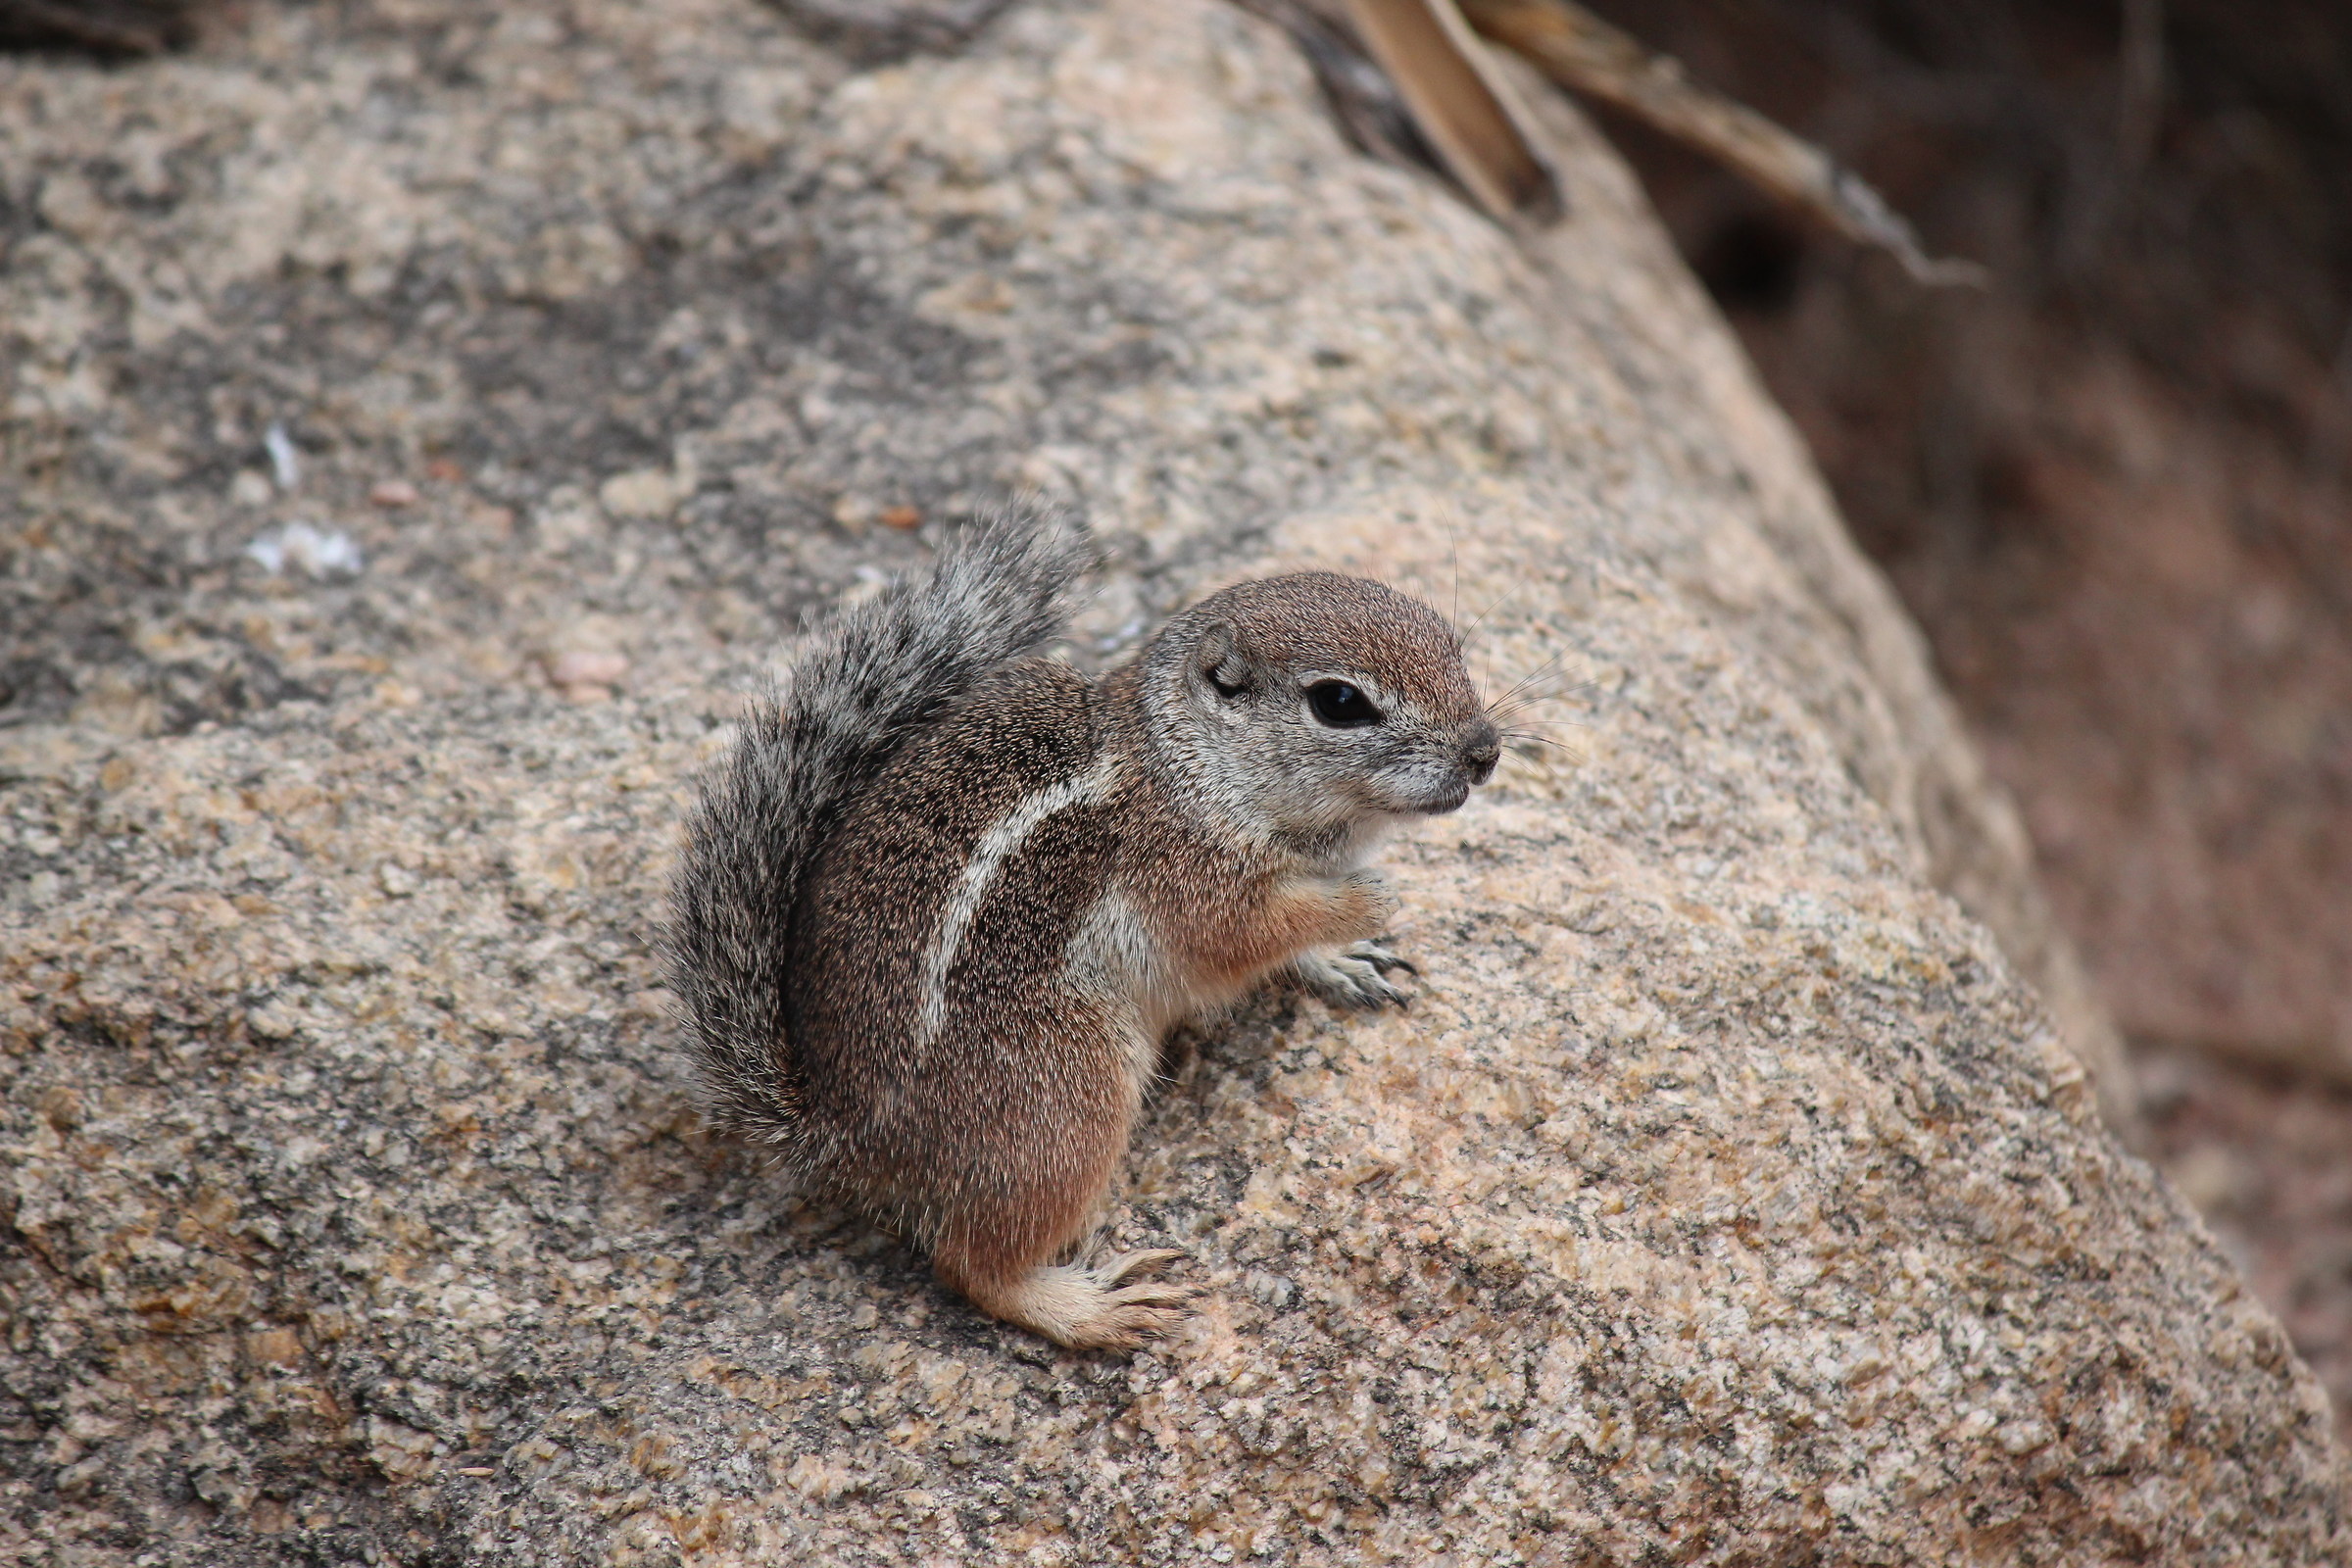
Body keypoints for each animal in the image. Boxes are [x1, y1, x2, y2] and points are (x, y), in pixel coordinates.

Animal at [668, 508, 1500, 1350]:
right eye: (1339, 702)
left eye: (1452, 645)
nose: (1486, 751)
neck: (1188, 763)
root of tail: (839, 1136)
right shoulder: (1193, 880)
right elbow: (1252, 932)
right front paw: (1368, 902)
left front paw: (1346, 960)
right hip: (1069, 1098)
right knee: (974, 1266)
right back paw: (1091, 1309)